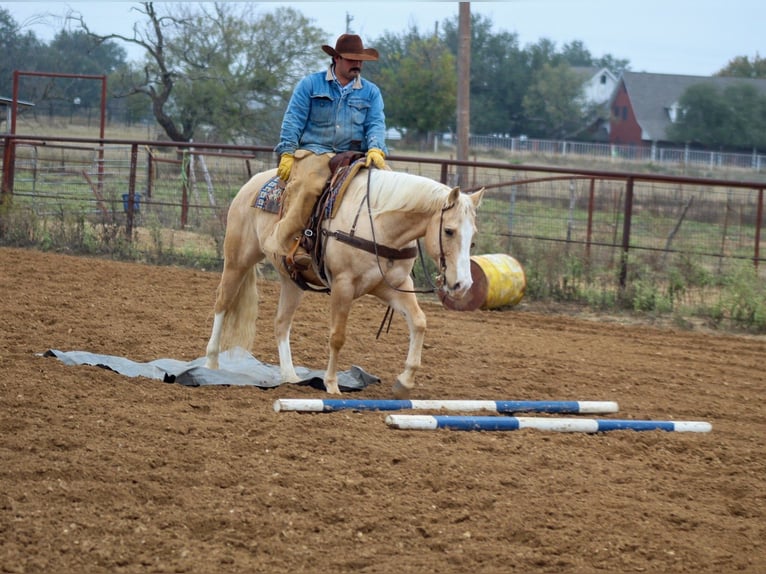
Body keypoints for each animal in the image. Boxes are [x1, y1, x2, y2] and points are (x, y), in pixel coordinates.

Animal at [204, 165, 484, 396]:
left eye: (473, 236)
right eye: (449, 231)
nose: (462, 285)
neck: (379, 225)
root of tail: (252, 183)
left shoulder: (394, 286)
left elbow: (419, 322)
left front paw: (404, 382)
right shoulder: (343, 285)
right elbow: (337, 336)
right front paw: (331, 383)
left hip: (291, 281)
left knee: (281, 323)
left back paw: (290, 376)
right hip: (237, 261)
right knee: (222, 303)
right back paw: (212, 364)